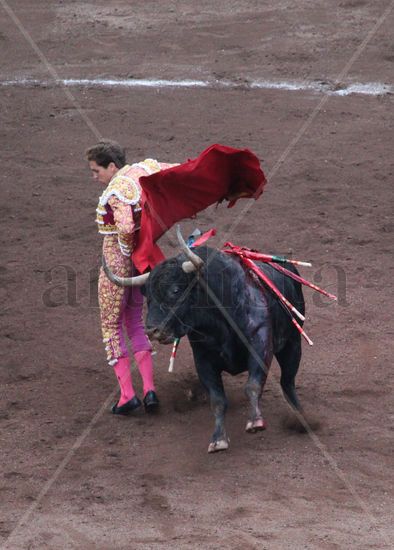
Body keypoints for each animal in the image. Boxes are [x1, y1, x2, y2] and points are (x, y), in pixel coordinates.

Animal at [104, 231, 304, 454]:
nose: (152, 330)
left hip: (293, 344)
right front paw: (218, 439)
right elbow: (217, 400)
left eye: (175, 290)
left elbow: (252, 385)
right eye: (147, 295)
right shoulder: (203, 360)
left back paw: (301, 418)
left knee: (287, 381)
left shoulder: (259, 344)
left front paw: (255, 422)